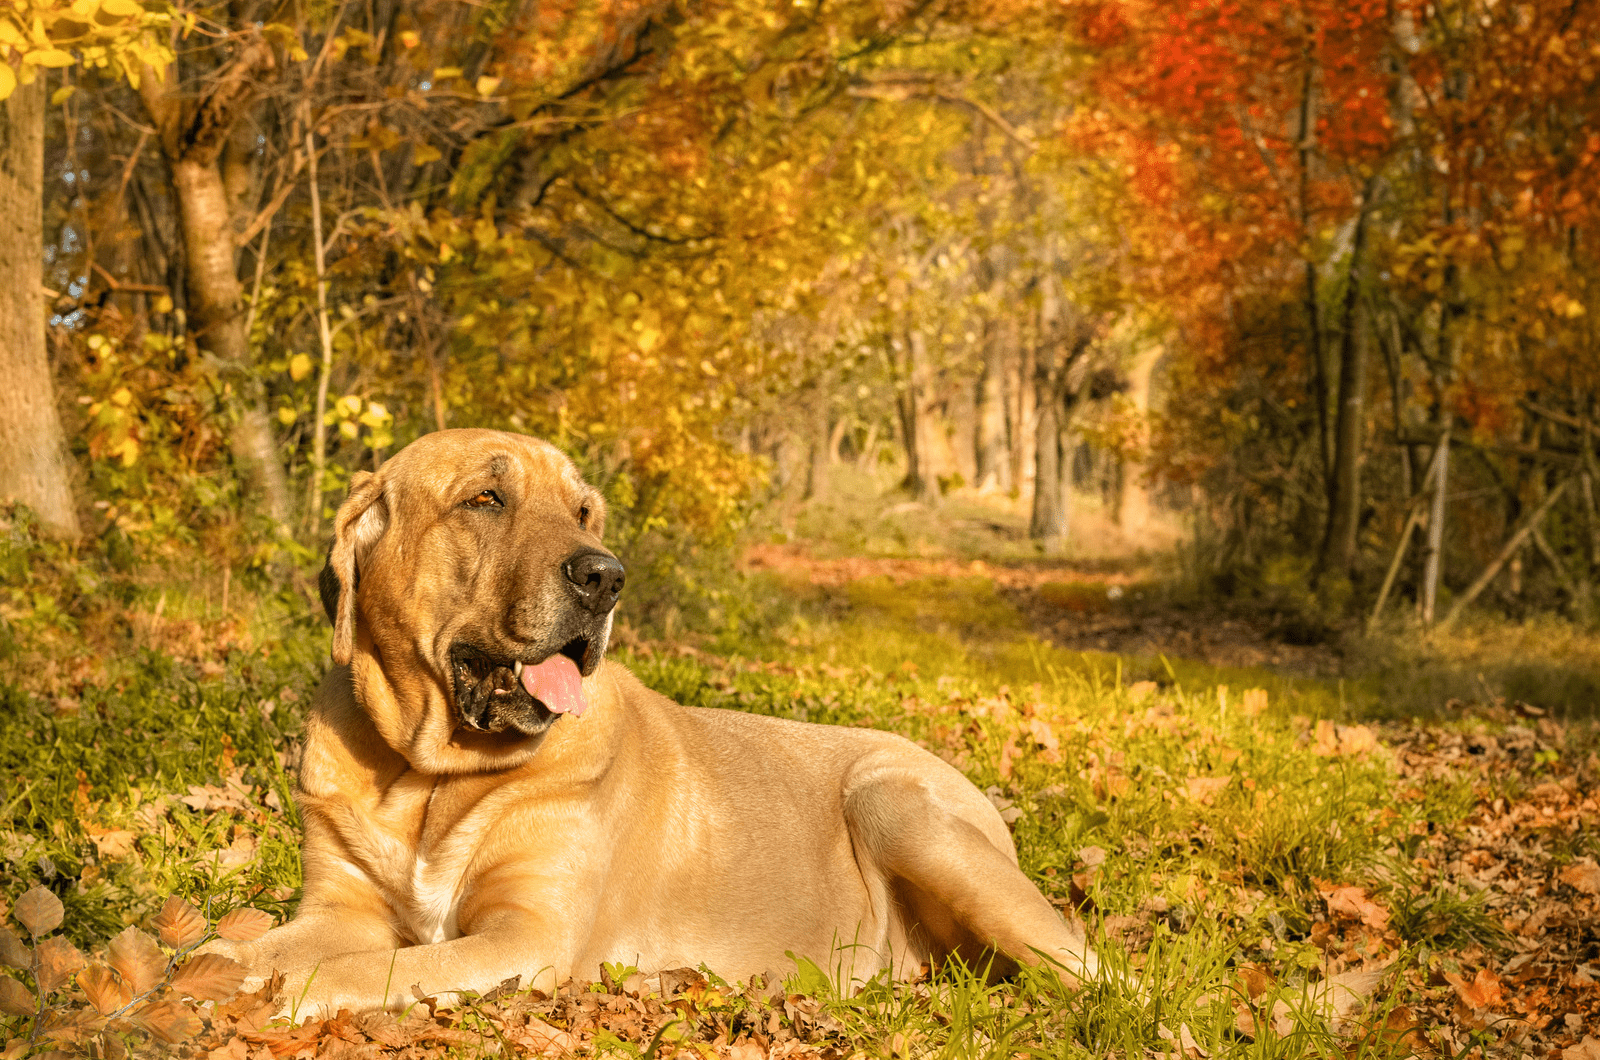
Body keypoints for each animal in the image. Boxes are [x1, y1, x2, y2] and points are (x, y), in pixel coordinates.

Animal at [216, 432, 1100, 1024]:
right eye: (485, 500)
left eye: (582, 511)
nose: (605, 576)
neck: (427, 775)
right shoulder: (338, 910)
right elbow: (238, 949)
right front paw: (200, 975)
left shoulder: (524, 934)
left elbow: (370, 971)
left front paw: (284, 997)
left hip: (900, 808)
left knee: (1096, 969)